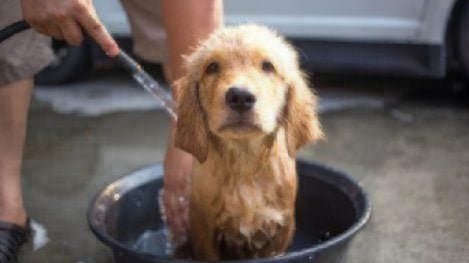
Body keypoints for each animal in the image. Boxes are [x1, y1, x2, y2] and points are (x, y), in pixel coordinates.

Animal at [172, 24, 322, 262]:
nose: (240, 96)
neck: (245, 163)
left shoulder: (282, 228)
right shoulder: (203, 228)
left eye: (268, 66)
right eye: (212, 67)